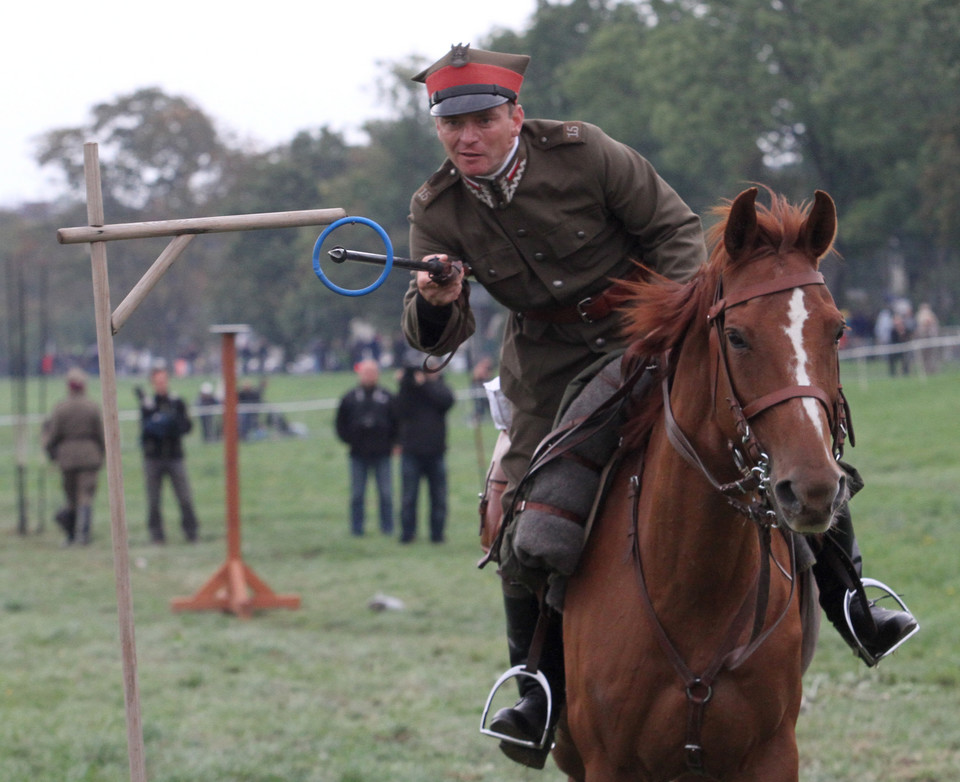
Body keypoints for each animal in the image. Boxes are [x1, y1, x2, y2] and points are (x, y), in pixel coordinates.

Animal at [556, 190, 848, 782]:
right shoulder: (606, 762)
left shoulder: (773, 755)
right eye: (736, 337)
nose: (813, 489)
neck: (693, 584)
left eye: (837, 330)